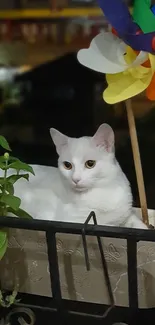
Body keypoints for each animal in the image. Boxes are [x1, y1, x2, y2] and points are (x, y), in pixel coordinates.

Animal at [11, 123, 148, 227]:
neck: (101, 191)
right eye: (67, 165)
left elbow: (135, 222)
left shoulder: (126, 214)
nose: (75, 179)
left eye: (90, 163)